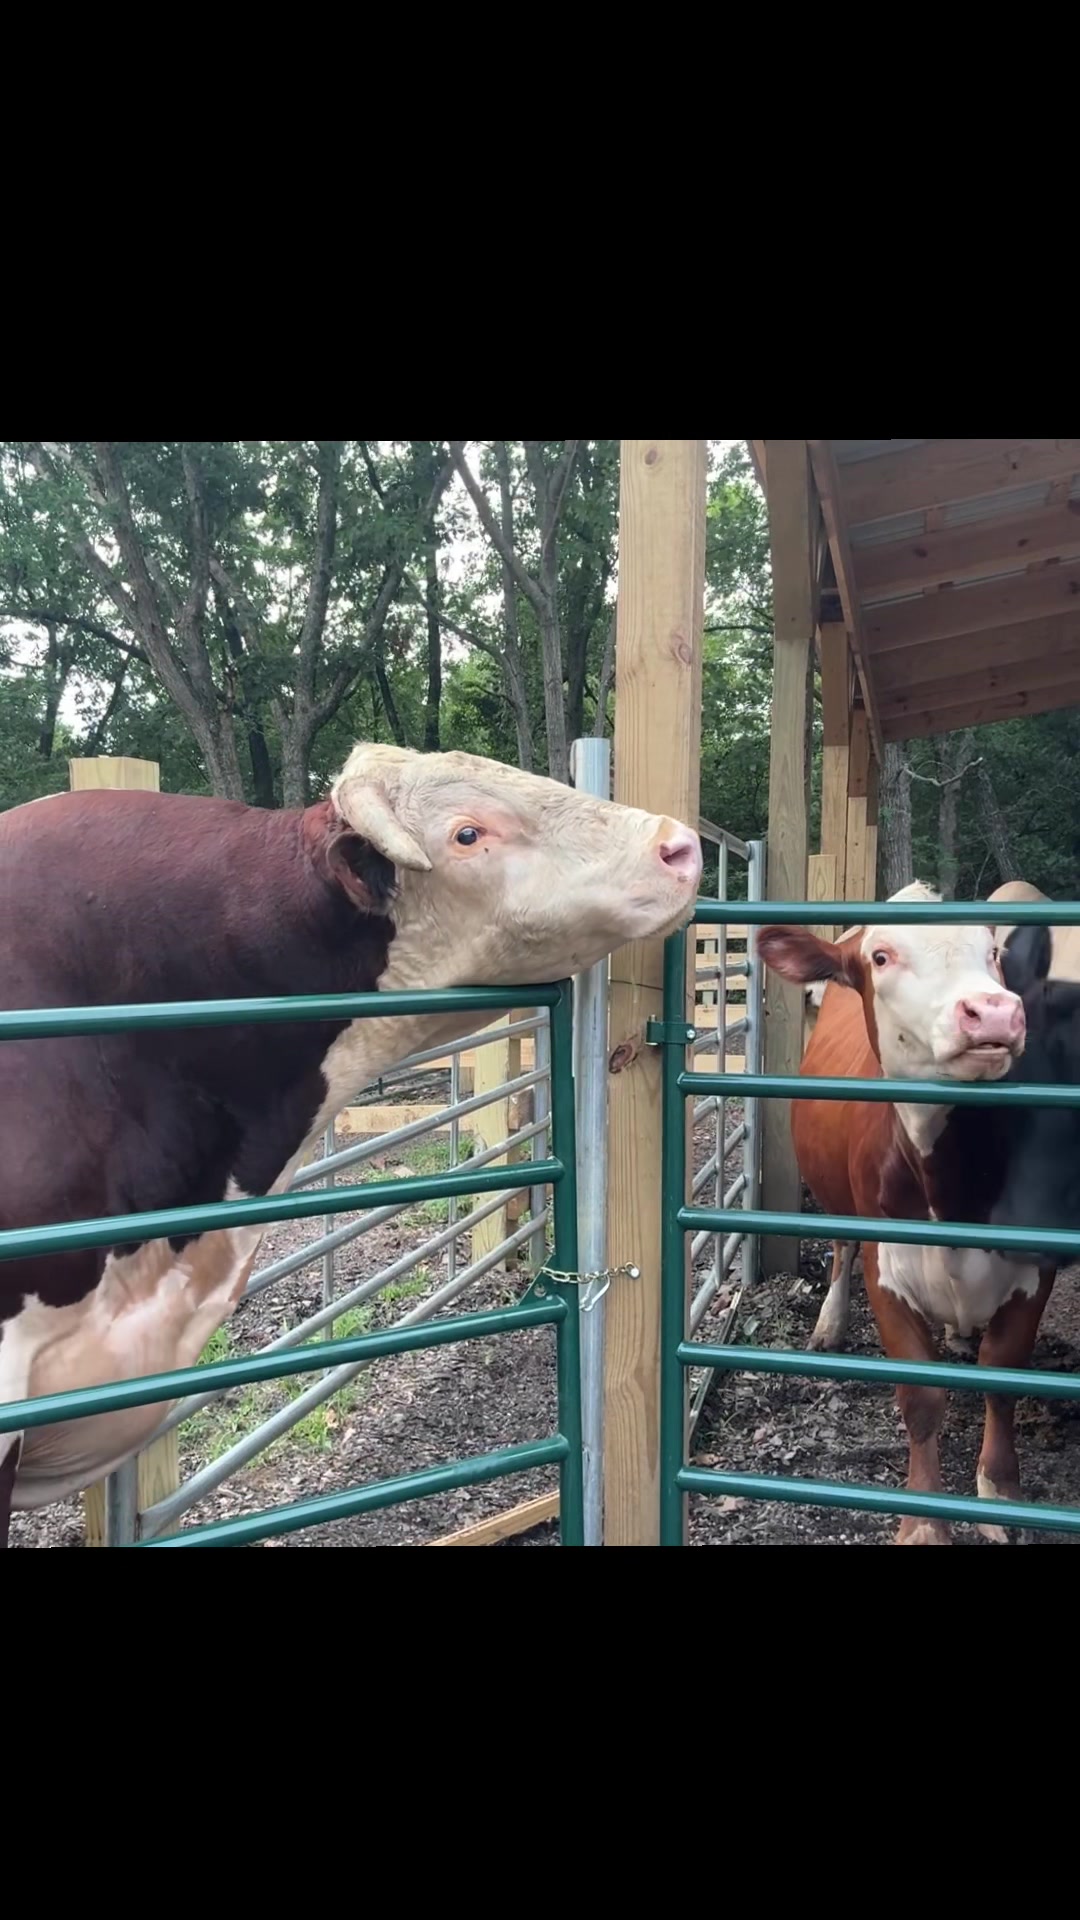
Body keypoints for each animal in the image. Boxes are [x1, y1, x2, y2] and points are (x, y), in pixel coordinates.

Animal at [757, 881, 1064, 1545]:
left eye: (993, 954)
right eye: (881, 957)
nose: (992, 1011)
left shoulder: (1035, 1268)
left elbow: (1003, 1376)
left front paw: (1000, 1496)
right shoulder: (886, 1269)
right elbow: (921, 1398)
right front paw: (923, 1521)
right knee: (840, 1253)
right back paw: (830, 1324)